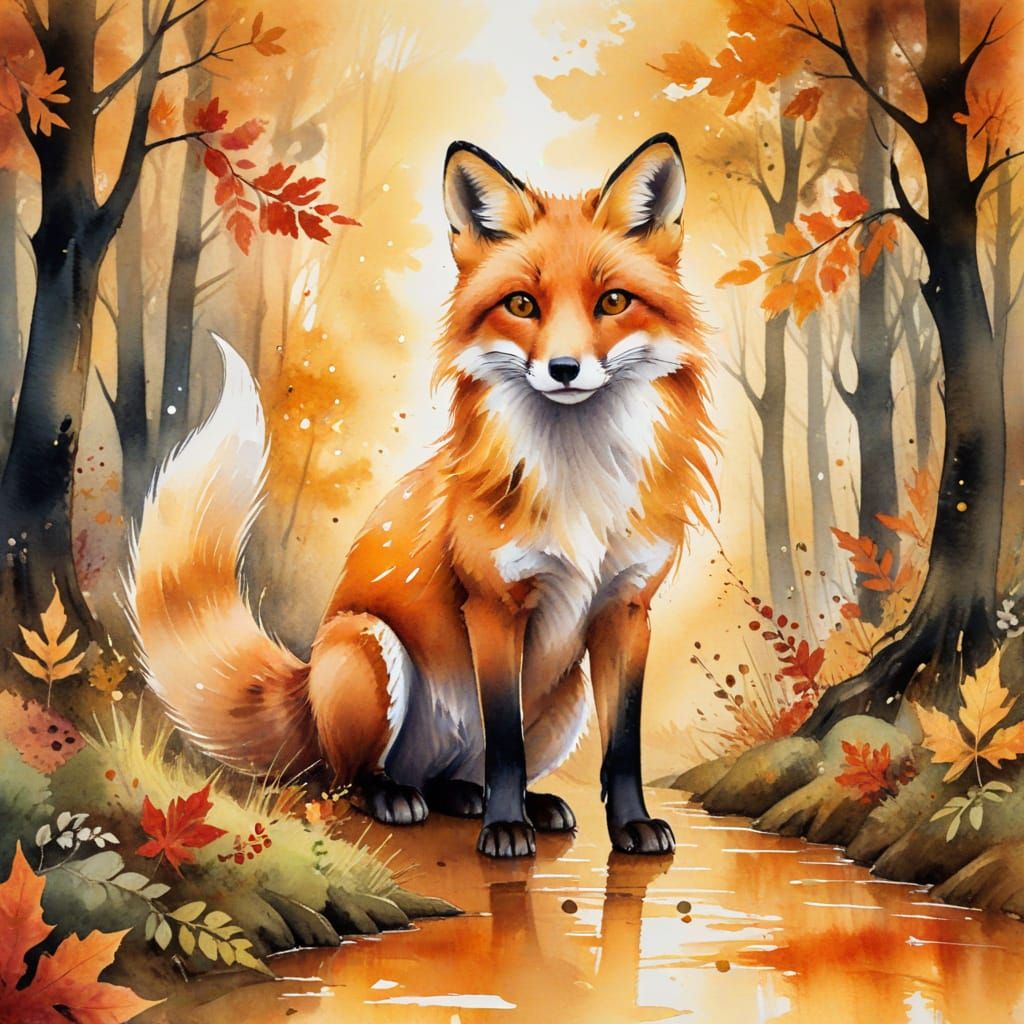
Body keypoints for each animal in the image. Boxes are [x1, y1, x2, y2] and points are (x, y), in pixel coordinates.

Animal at [127, 132, 716, 859]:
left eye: (612, 302)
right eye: (522, 305)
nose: (564, 369)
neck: (579, 487)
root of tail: (302, 695)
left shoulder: (627, 608)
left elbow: (622, 745)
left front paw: (630, 825)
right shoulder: (493, 605)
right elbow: (505, 743)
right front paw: (504, 830)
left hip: (567, 694)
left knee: (460, 775)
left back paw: (489, 799)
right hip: (365, 648)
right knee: (348, 777)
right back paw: (400, 797)